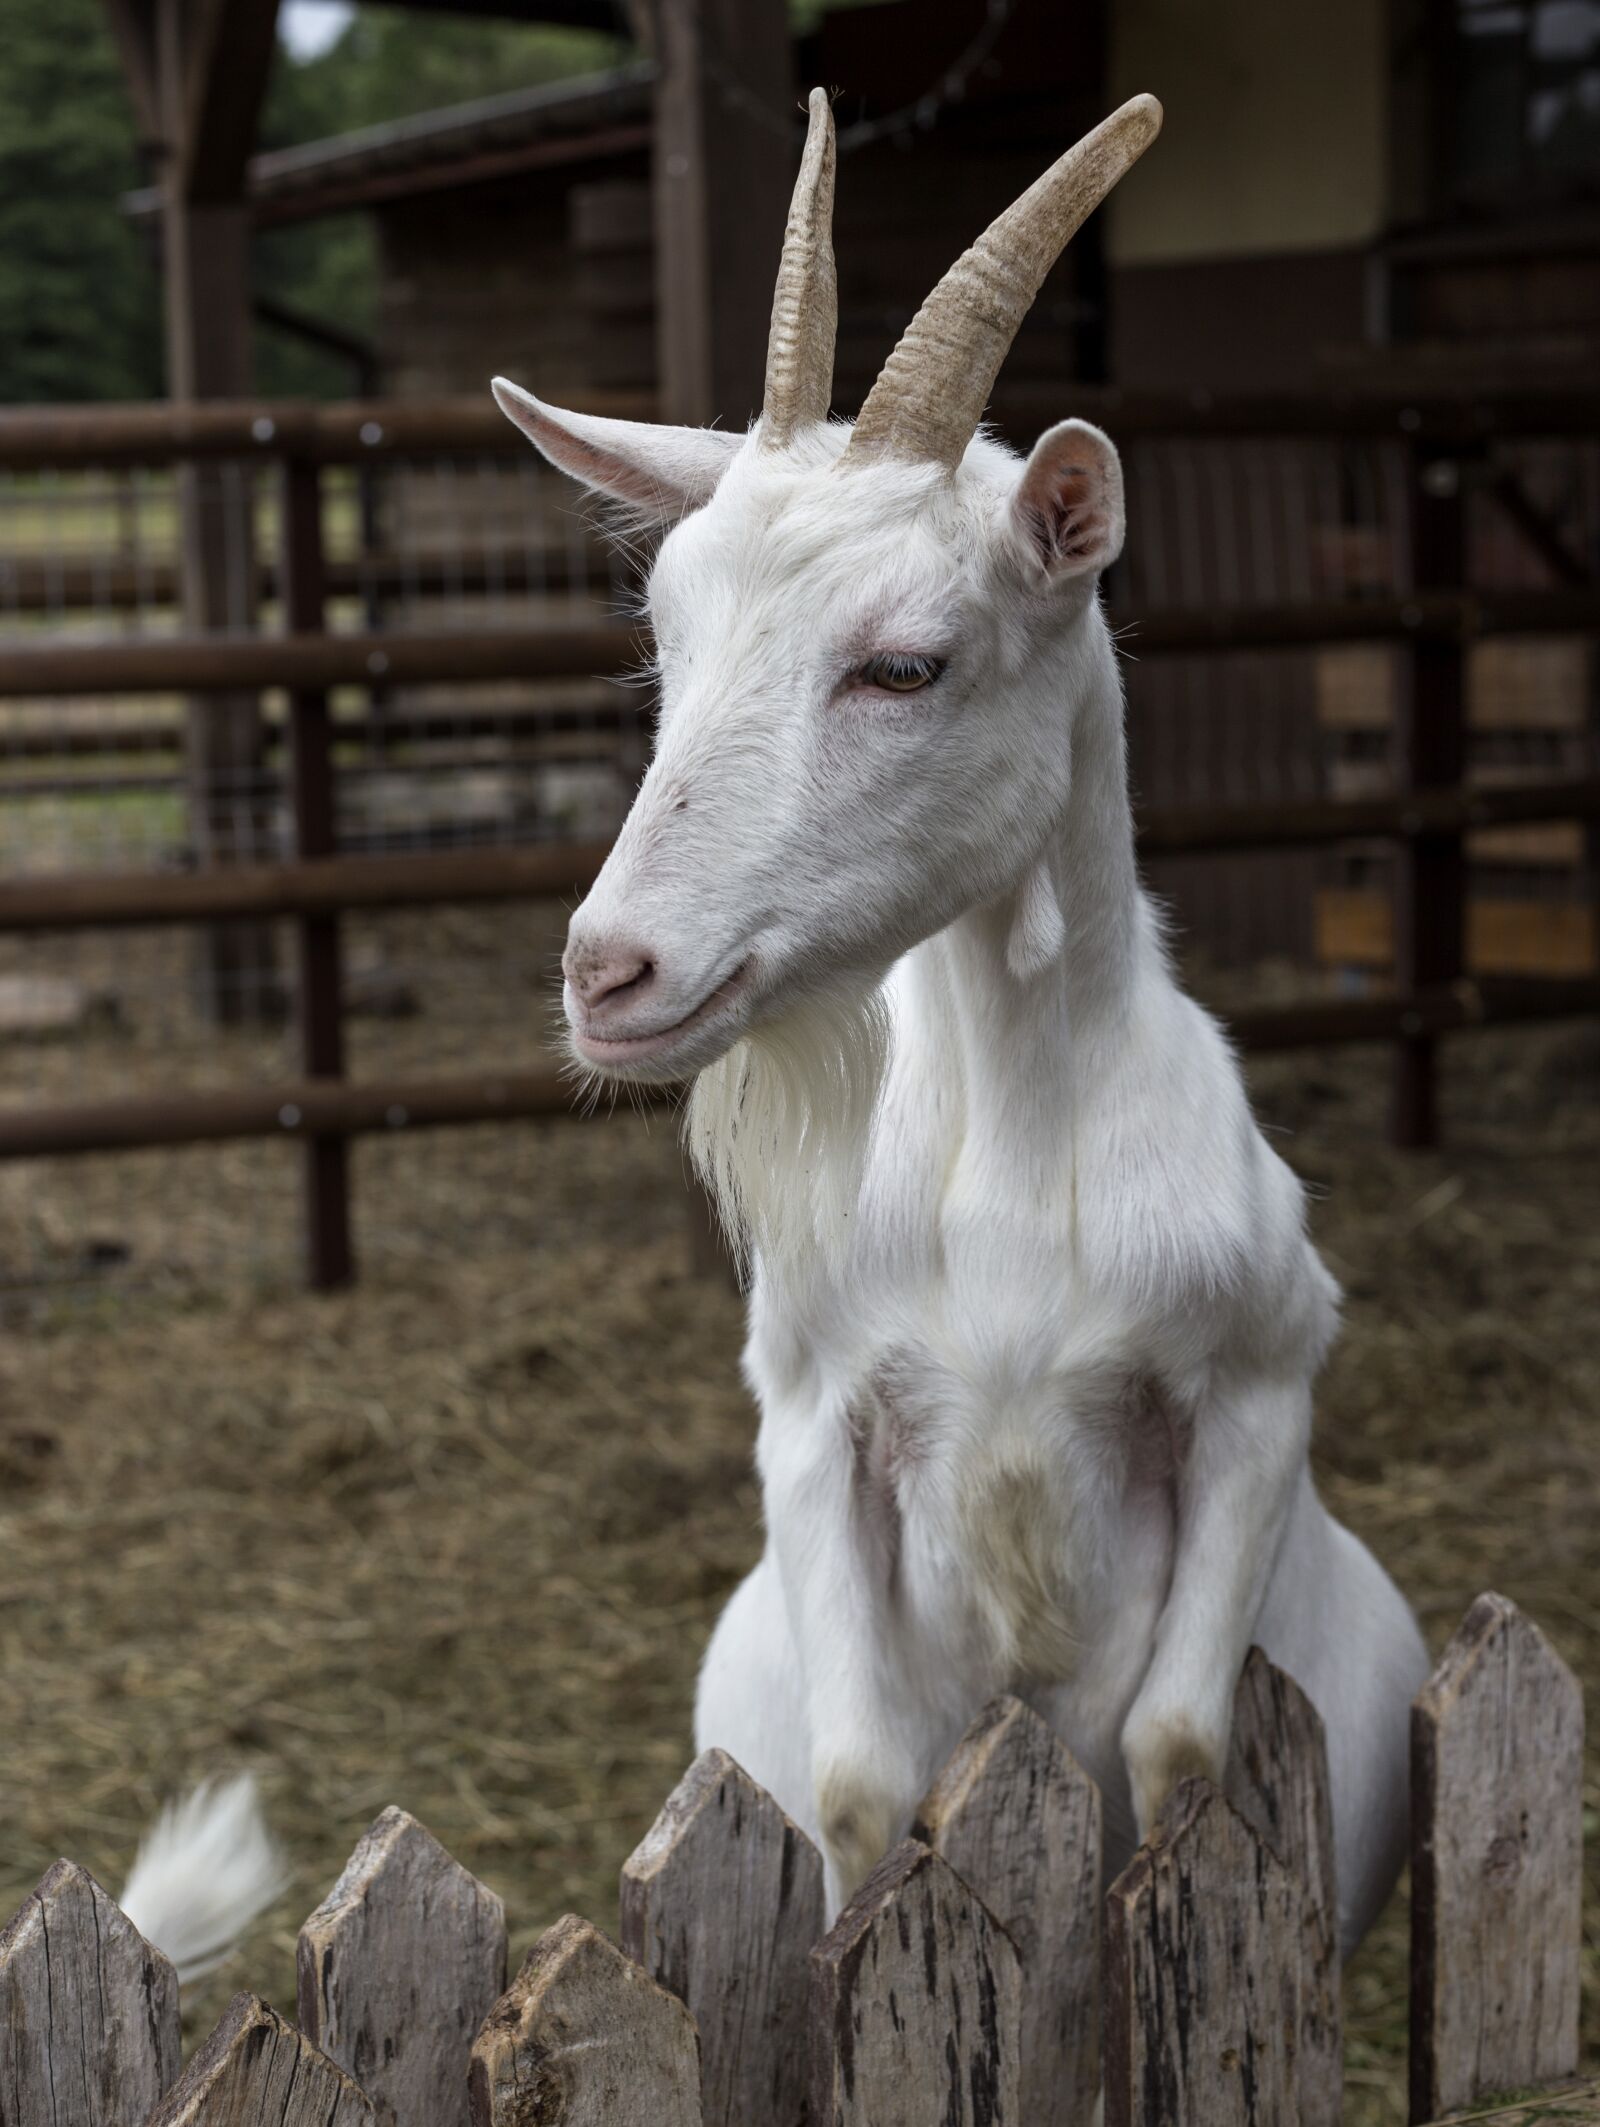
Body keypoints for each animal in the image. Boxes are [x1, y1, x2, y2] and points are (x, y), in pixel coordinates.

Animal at [497, 91, 1421, 1948]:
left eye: (905, 663)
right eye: (669, 631)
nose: (608, 973)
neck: (1008, 1150)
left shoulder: (1259, 1382)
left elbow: (1184, 1744)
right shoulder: (807, 1416)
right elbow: (862, 1781)